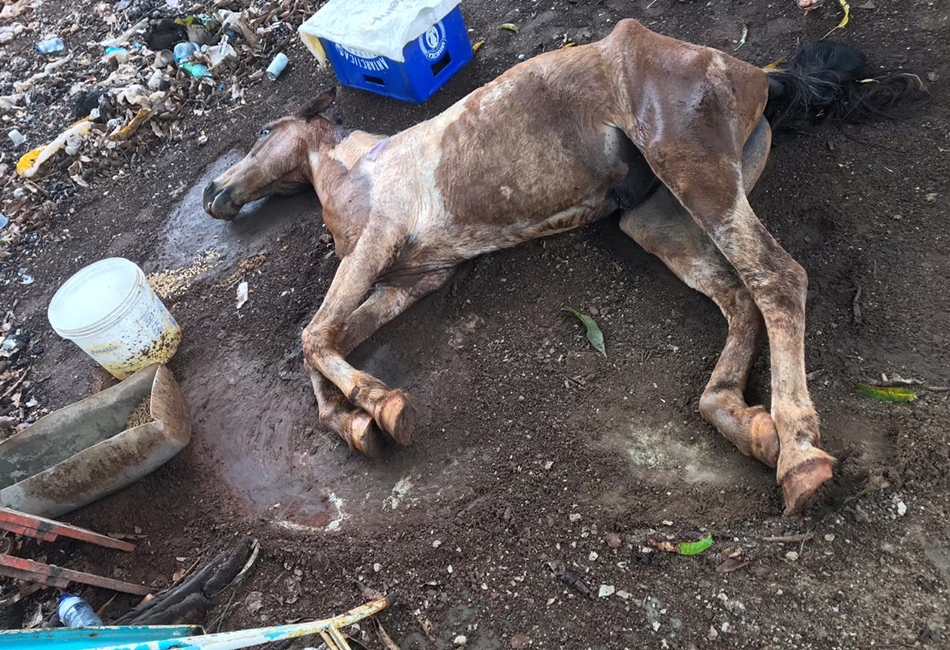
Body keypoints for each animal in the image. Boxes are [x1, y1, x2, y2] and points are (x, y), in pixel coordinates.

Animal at [203, 19, 924, 514]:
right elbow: (327, 341)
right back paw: (747, 424)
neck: (361, 168)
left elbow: (312, 335)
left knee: (777, 278)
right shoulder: (409, 280)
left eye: (264, 131)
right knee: (738, 296)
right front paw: (357, 421)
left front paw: (381, 408)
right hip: (657, 220)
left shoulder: (377, 243)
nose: (215, 193)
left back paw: (799, 458)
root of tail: (759, 75)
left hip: (694, 173)